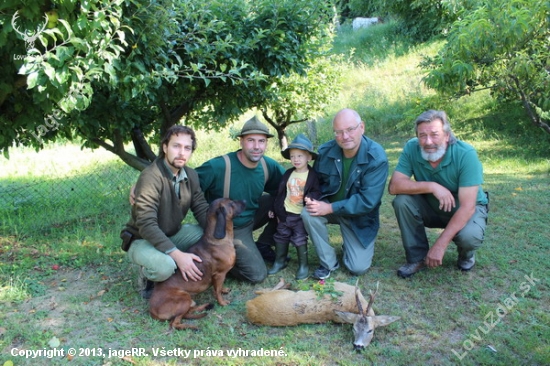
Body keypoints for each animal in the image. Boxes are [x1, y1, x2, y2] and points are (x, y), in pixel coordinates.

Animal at [150, 199, 247, 330]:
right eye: (231, 203)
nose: (245, 201)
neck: (217, 240)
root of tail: (151, 310)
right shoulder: (219, 274)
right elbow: (217, 291)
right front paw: (222, 302)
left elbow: (219, 288)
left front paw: (224, 290)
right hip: (184, 298)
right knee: (175, 323)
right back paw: (193, 326)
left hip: (189, 301)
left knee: (188, 312)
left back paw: (206, 306)